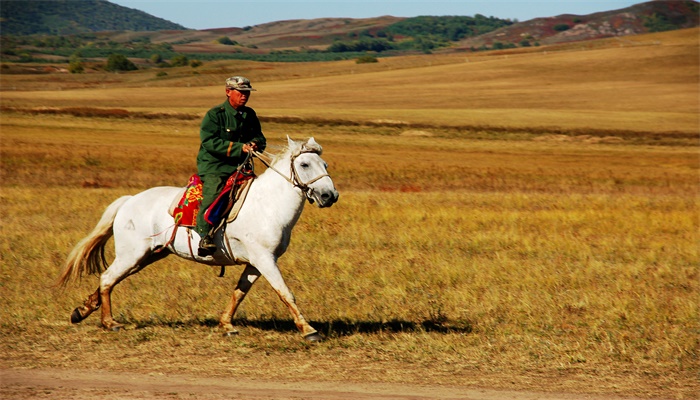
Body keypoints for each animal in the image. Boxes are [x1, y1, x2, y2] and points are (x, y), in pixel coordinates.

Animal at [58, 138, 338, 340]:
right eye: (304, 165)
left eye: (324, 165)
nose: (329, 196)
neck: (268, 205)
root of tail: (129, 200)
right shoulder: (265, 260)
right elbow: (286, 293)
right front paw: (309, 330)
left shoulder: (256, 263)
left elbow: (239, 293)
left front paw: (226, 325)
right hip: (132, 254)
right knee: (107, 278)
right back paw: (110, 323)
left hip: (148, 255)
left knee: (111, 280)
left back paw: (81, 311)